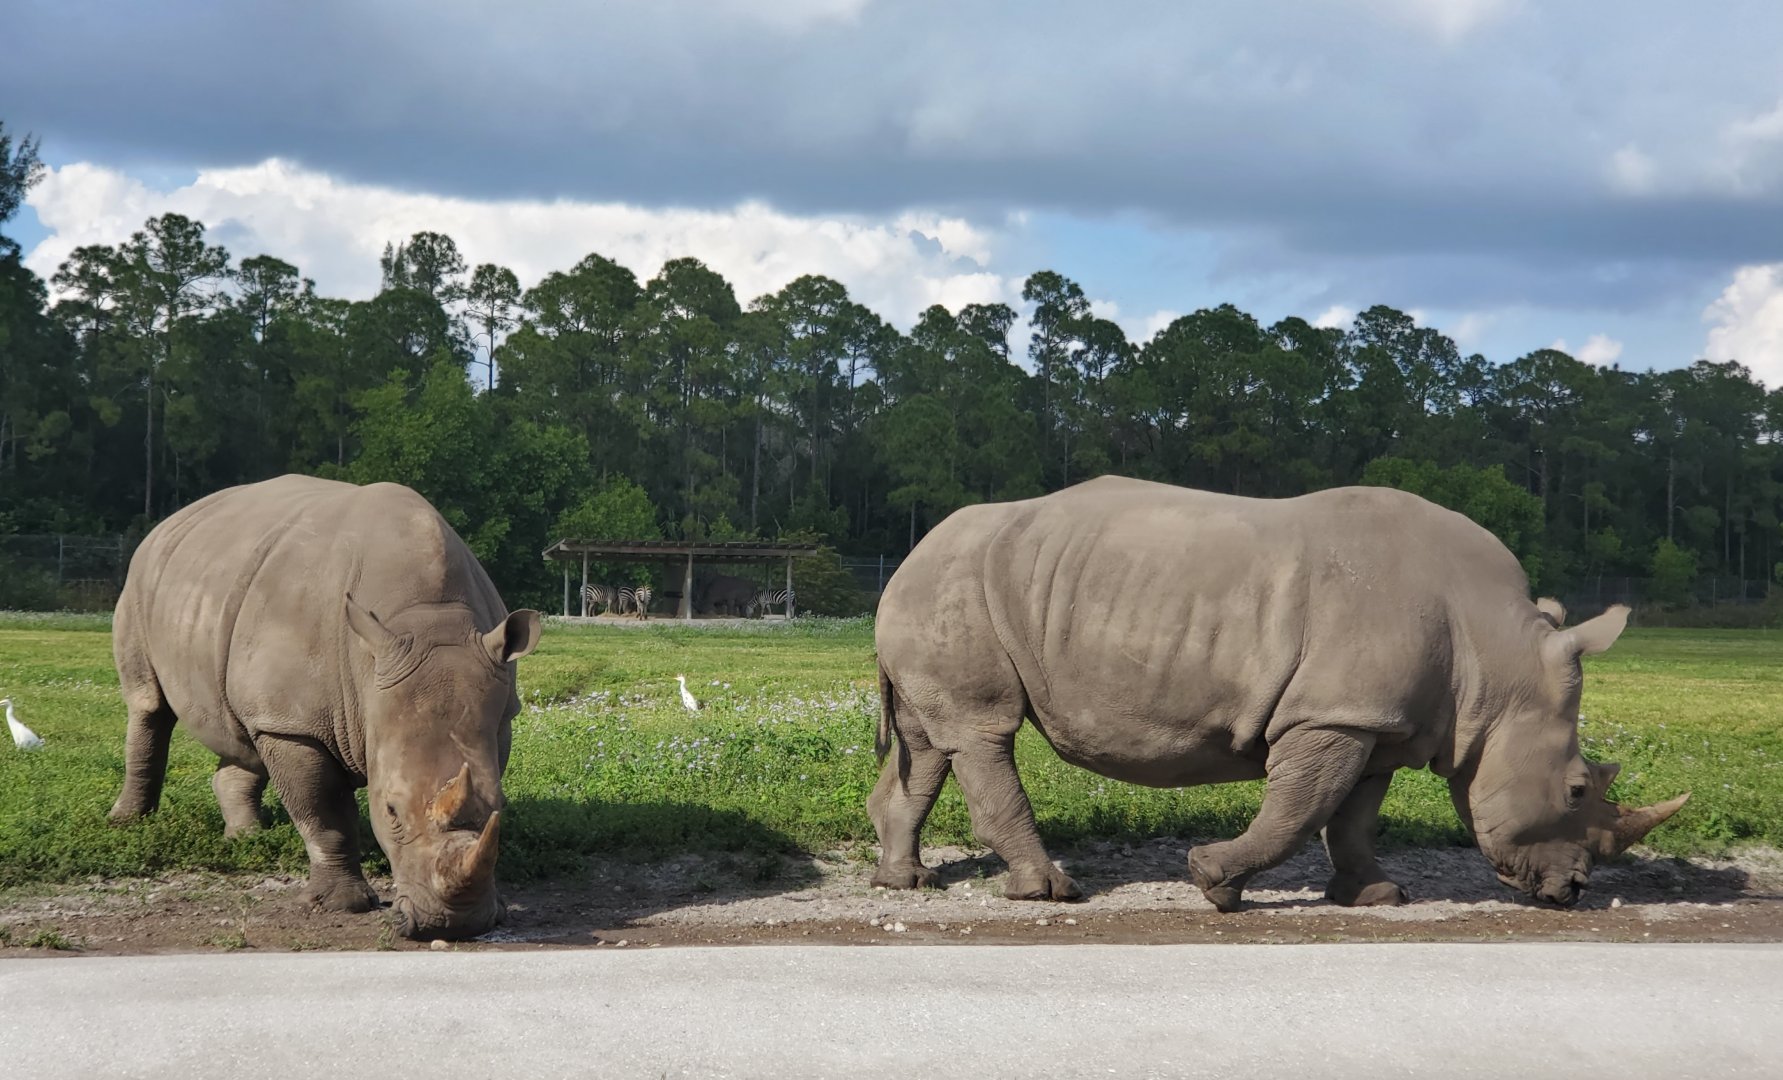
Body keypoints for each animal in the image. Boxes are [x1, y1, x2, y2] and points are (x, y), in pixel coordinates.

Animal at [108, 475, 541, 939]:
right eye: (390, 811)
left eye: (502, 806)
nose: (451, 924)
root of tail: (171, 521)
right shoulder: (295, 723)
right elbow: (324, 812)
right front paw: (340, 905)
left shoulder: (498, 717)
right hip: (141, 580)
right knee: (148, 704)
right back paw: (127, 823)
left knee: (243, 733)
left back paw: (247, 838)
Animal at [870, 476, 1689, 910]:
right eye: (1577, 789)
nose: (1571, 890)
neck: (1496, 663)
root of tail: (907, 555)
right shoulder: (1332, 715)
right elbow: (1299, 808)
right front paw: (1214, 883)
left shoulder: (1378, 722)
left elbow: (1352, 816)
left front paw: (1374, 897)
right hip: (956, 586)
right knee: (983, 733)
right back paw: (1050, 892)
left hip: (942, 591)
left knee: (928, 743)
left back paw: (904, 881)